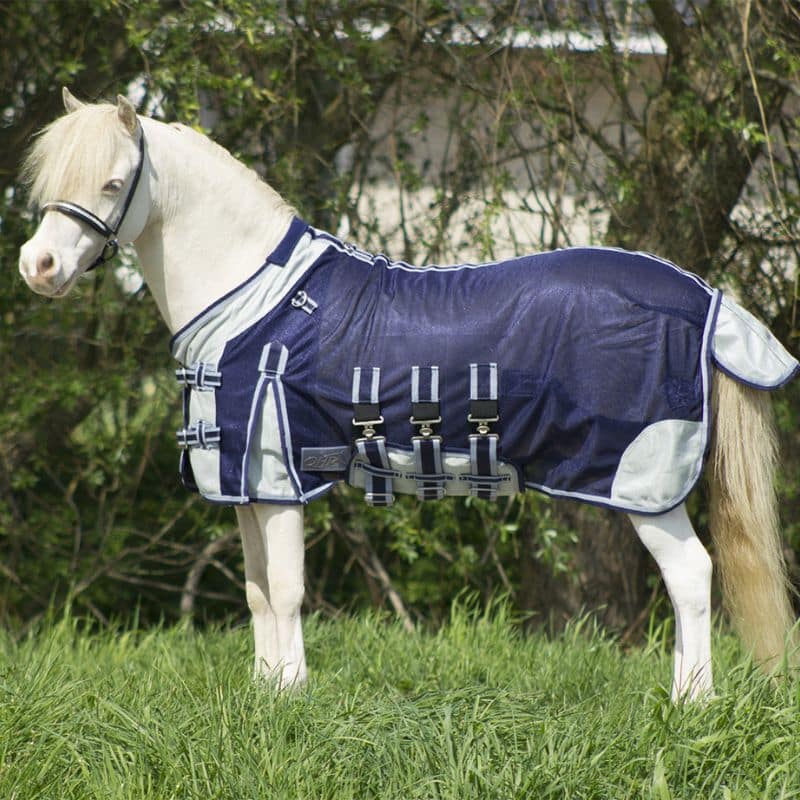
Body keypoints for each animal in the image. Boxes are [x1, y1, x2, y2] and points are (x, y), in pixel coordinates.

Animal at [17, 89, 799, 702]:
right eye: (51, 178)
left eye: (114, 182)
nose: (38, 266)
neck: (253, 301)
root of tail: (706, 299)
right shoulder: (243, 483)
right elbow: (258, 591)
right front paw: (264, 694)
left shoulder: (280, 474)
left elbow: (289, 591)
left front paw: (291, 699)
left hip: (639, 479)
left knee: (692, 576)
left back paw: (689, 705)